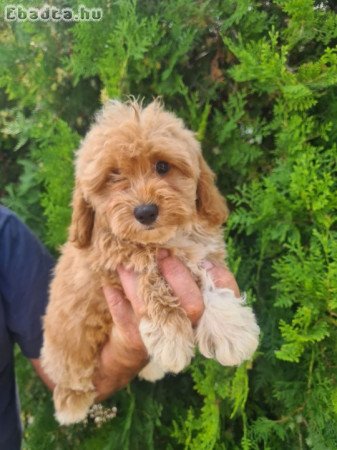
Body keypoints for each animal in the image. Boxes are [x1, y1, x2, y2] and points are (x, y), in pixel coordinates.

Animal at [40, 99, 258, 426]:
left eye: (162, 166)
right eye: (114, 175)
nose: (145, 212)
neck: (163, 239)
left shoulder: (204, 250)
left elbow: (209, 277)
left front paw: (230, 329)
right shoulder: (111, 260)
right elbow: (148, 274)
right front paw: (170, 335)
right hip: (65, 336)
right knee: (68, 367)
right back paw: (71, 403)